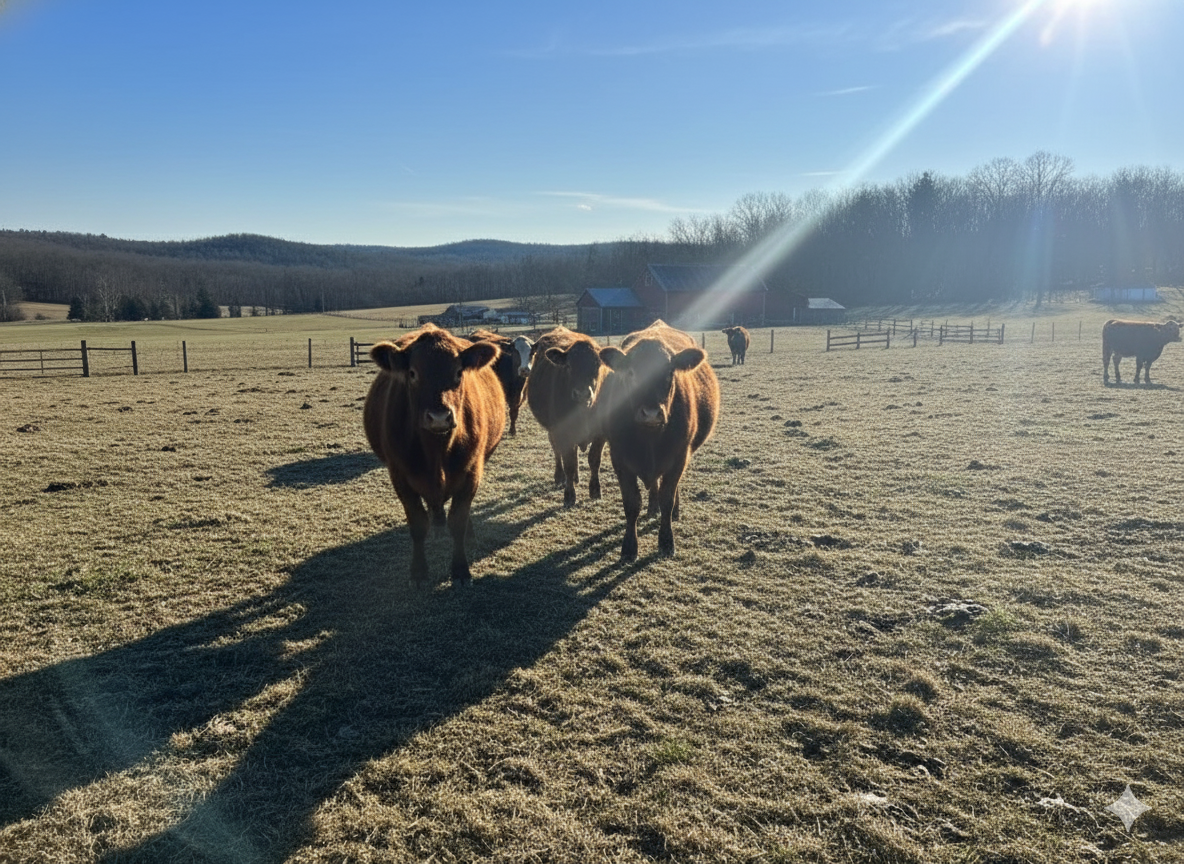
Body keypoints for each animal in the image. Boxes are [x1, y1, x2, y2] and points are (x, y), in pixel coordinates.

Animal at [363, 324, 505, 585]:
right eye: (412, 373)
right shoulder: (400, 477)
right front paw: (419, 572)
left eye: (459, 372)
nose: (439, 417)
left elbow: (458, 521)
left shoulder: (472, 473)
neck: (436, 451)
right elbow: (419, 525)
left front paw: (460, 569)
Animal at [524, 326, 609, 507]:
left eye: (597, 365)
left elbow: (594, 460)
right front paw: (569, 495)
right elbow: (568, 462)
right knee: (557, 451)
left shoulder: (601, 433)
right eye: (569, 366)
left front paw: (595, 489)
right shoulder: (562, 432)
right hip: (552, 430)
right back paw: (560, 476)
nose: (582, 393)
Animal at [598, 320, 720, 561]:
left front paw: (666, 541)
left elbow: (668, 498)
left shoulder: (679, 456)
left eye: (669, 372)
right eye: (631, 373)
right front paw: (629, 547)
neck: (649, 438)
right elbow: (632, 503)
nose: (651, 413)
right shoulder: (619, 458)